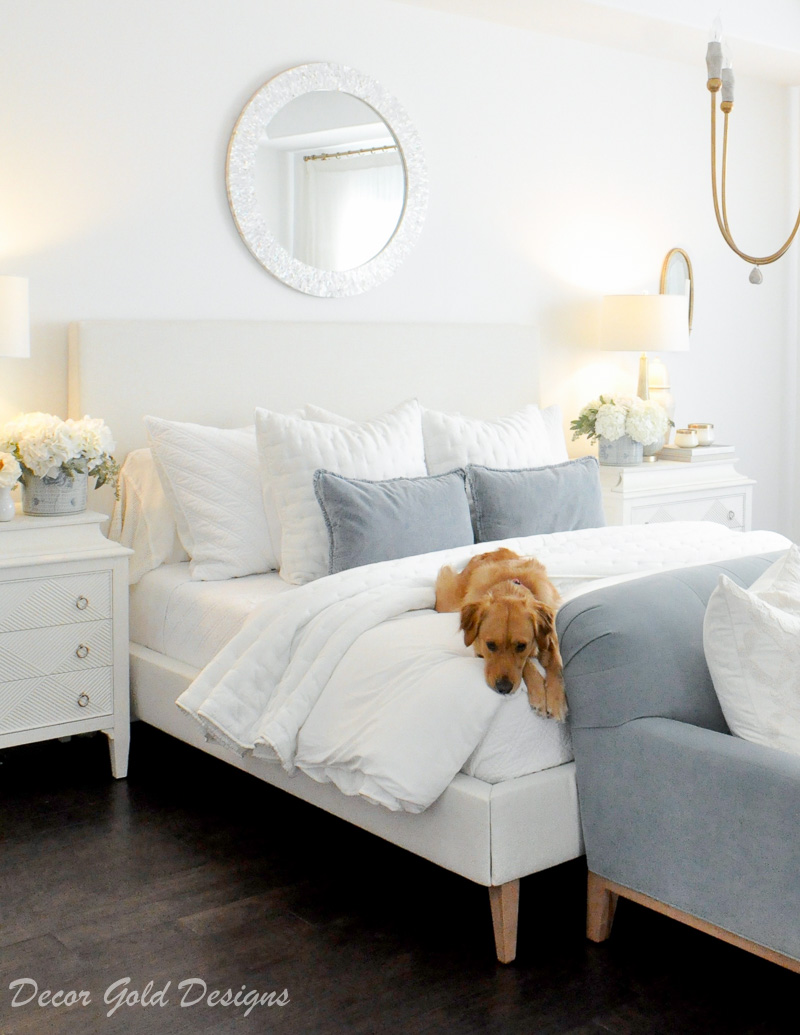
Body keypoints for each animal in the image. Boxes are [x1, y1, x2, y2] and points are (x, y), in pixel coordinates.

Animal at [430, 550, 567, 720]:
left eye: (521, 646)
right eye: (490, 645)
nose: (503, 688)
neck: (509, 587)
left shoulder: (548, 637)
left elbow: (557, 664)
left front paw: (557, 701)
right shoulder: (479, 650)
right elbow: (527, 664)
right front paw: (539, 693)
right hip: (448, 602)